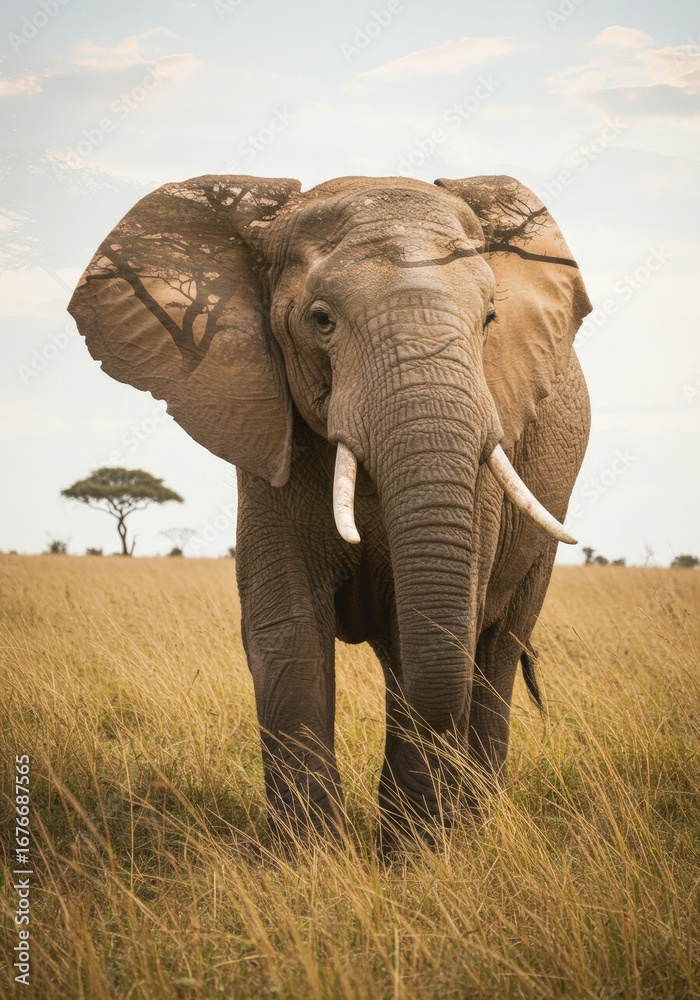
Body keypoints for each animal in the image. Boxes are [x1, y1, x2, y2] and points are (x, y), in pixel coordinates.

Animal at [68, 173, 591, 846]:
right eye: (320, 320)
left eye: (490, 319)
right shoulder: (266, 443)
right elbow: (288, 630)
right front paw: (311, 855)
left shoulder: (483, 485)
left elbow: (440, 629)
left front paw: (415, 856)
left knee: (496, 648)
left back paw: (471, 823)